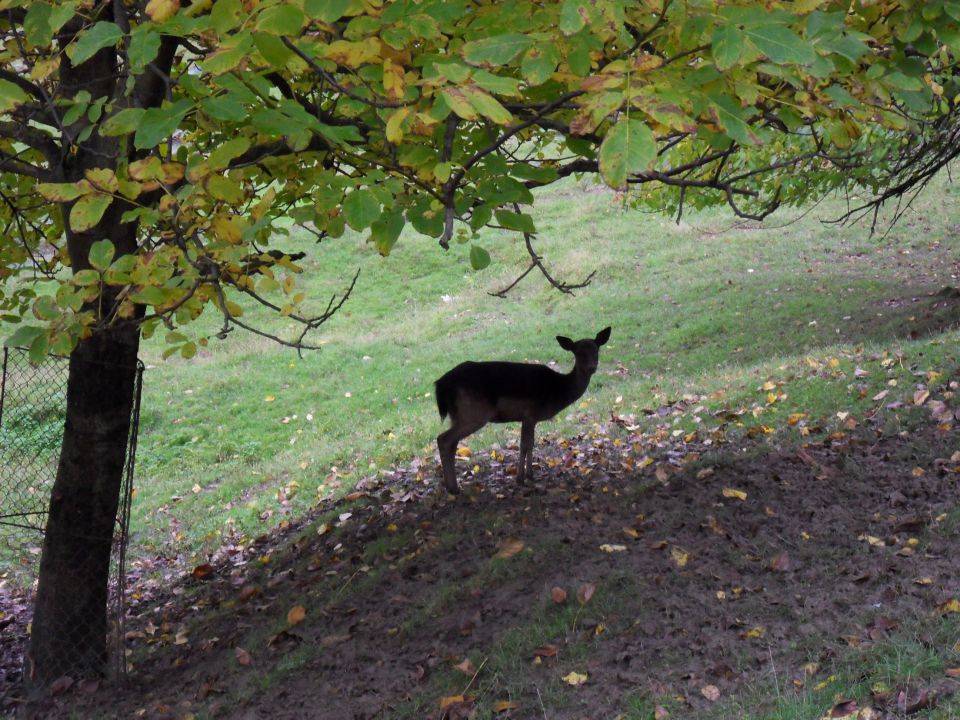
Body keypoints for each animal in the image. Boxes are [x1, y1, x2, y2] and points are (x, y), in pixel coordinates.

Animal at [434, 328, 612, 492]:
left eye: (596, 350)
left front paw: (530, 475)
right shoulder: (530, 414)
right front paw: (521, 479)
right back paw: (453, 488)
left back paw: (452, 486)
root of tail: (441, 385)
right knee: (443, 439)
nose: (592, 367)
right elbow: (525, 445)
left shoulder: (529, 418)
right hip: (474, 414)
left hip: (459, 415)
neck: (557, 391)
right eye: (578, 352)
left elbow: (530, 444)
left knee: (452, 443)